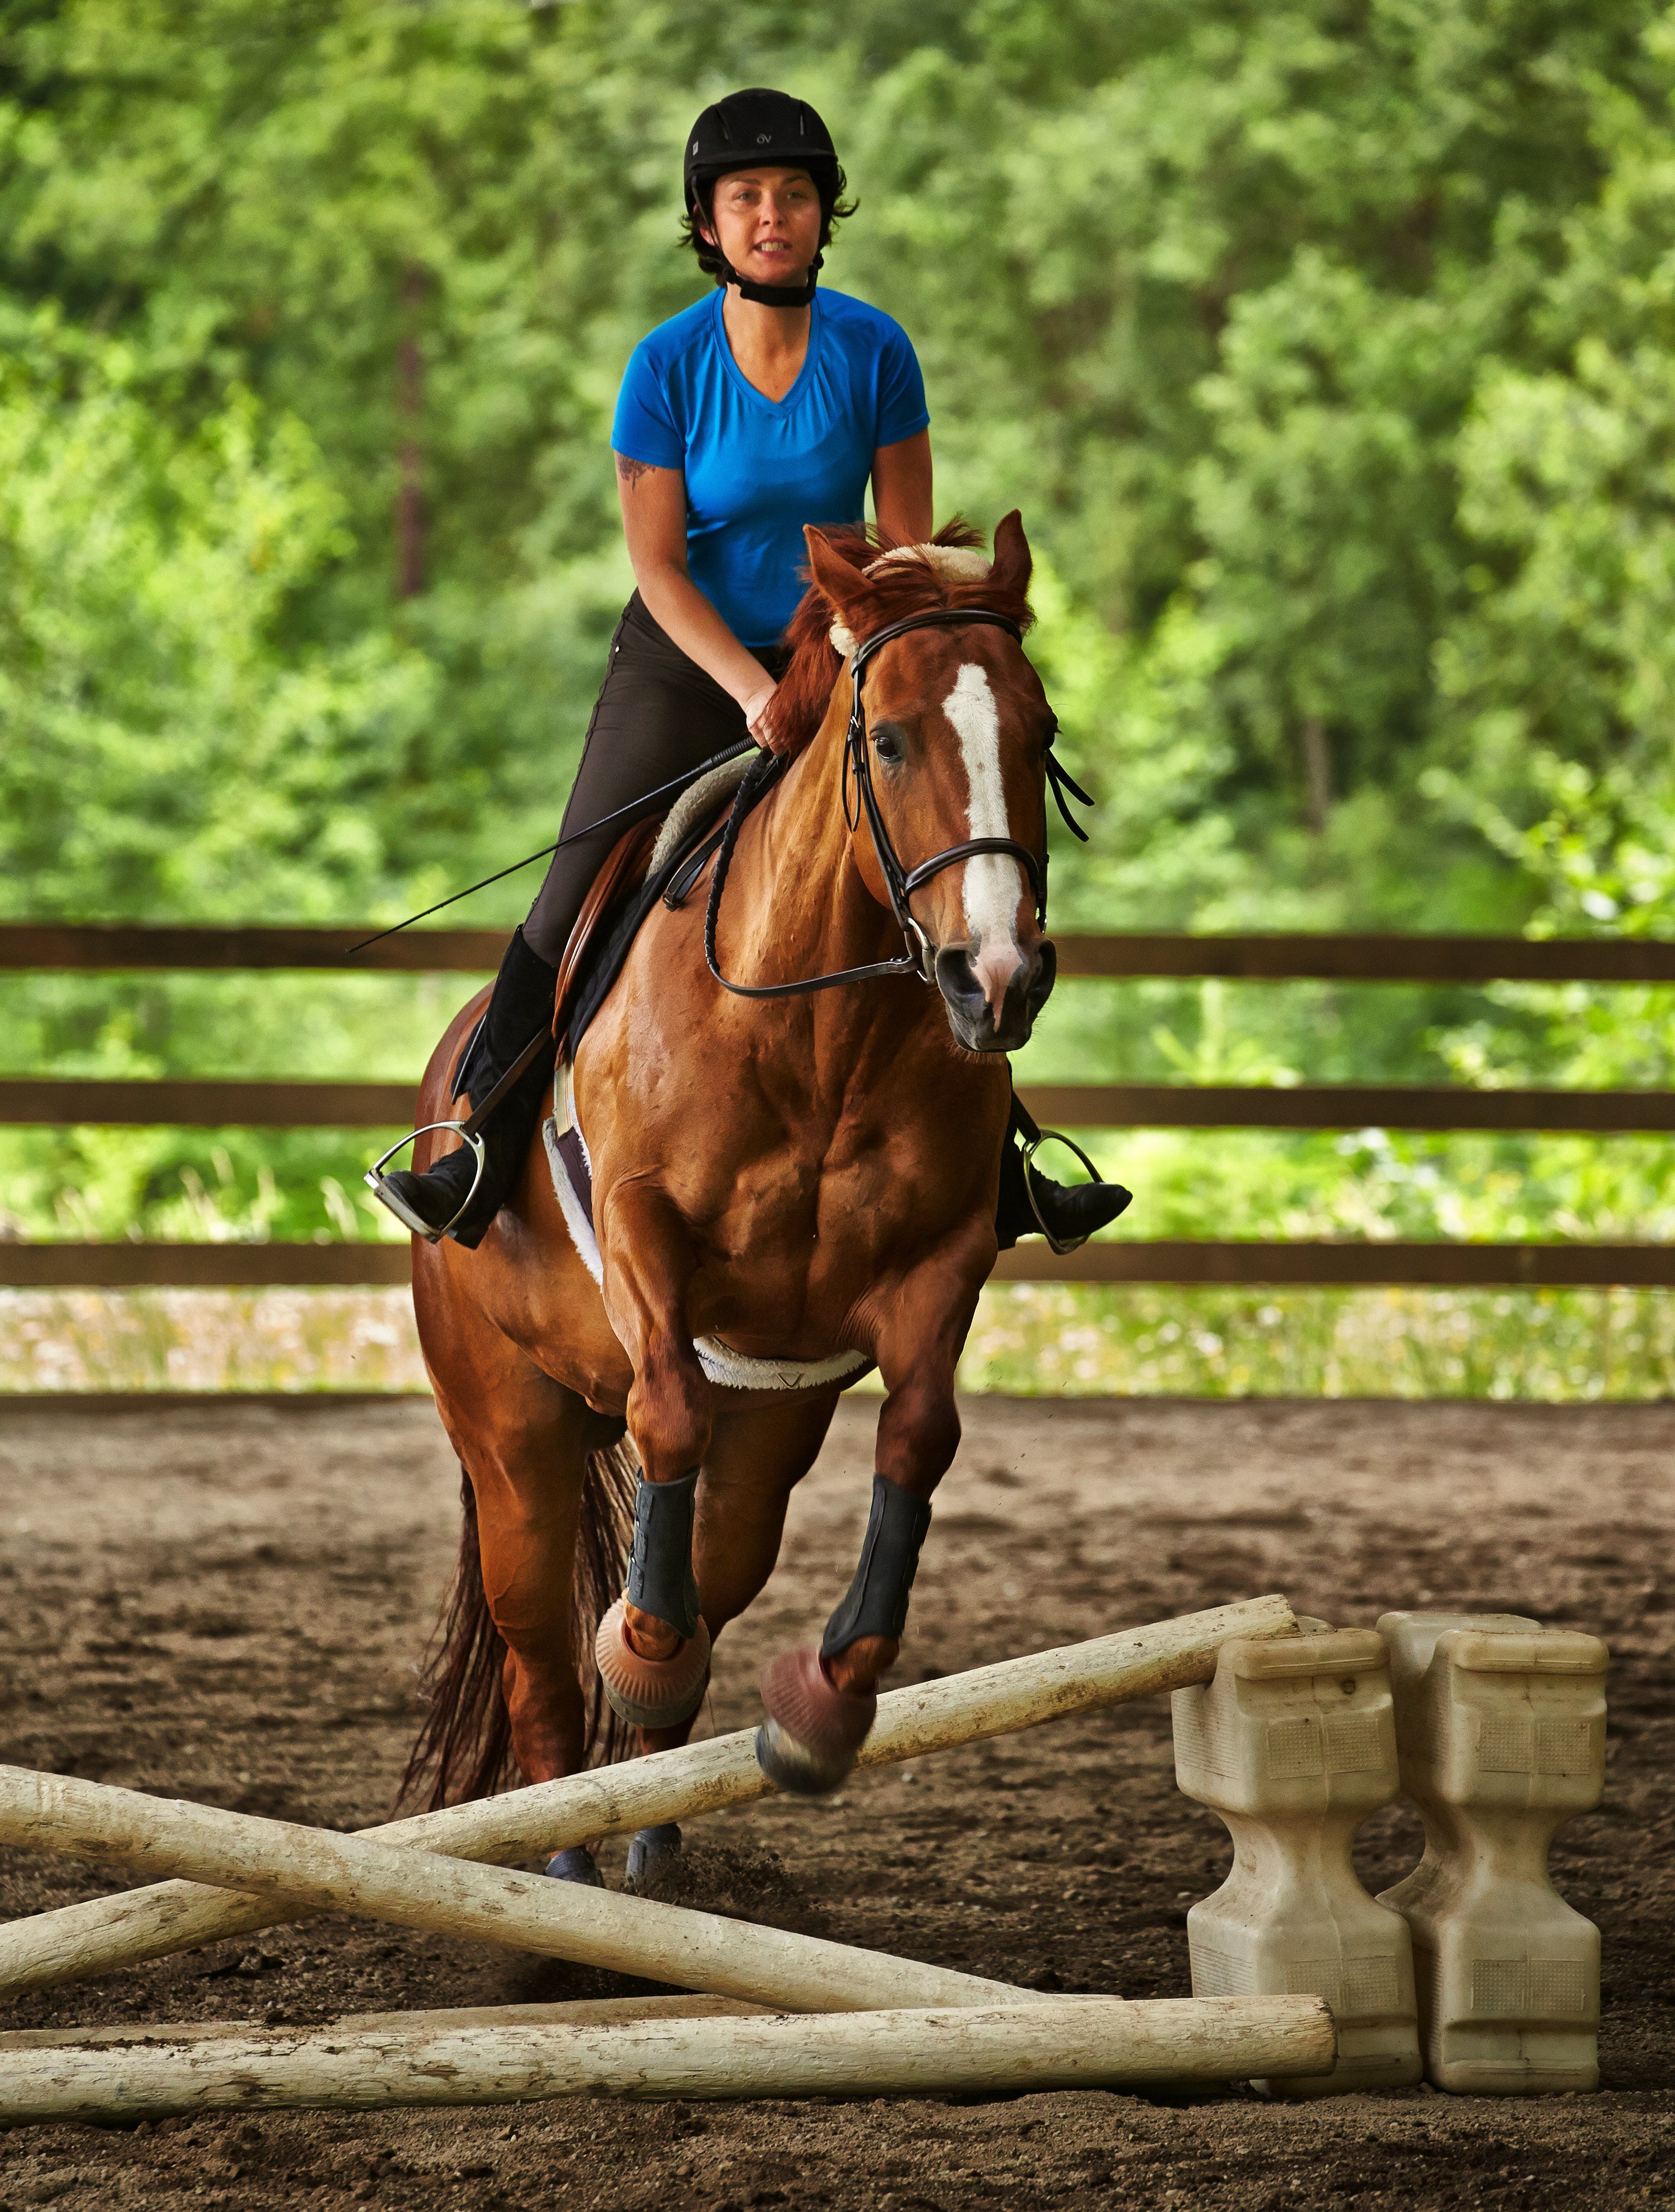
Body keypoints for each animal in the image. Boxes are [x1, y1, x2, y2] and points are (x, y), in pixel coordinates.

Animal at [402, 513, 1058, 1849]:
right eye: (890, 738)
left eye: (1043, 734)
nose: (998, 978)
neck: (819, 1036)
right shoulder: (642, 1233)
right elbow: (666, 1410)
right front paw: (642, 1640)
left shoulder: (940, 1259)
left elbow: (922, 1430)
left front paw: (828, 1696)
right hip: (510, 1435)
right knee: (543, 1668)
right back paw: (562, 1856)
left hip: (766, 1445)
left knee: (713, 1575)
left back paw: (652, 1844)